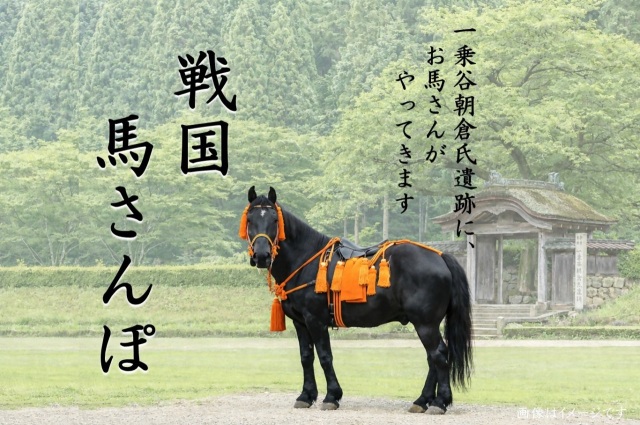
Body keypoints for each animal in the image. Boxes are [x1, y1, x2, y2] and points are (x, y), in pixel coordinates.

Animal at [240, 186, 473, 414]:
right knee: (432, 358)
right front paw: (306, 396)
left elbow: (325, 356)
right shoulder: (300, 322)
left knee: (438, 354)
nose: (261, 255)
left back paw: (439, 402)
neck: (307, 261)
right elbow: (306, 357)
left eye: (274, 220)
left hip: (425, 323)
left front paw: (332, 396)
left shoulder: (316, 320)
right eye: (250, 219)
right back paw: (422, 400)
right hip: (426, 324)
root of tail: (440, 256)